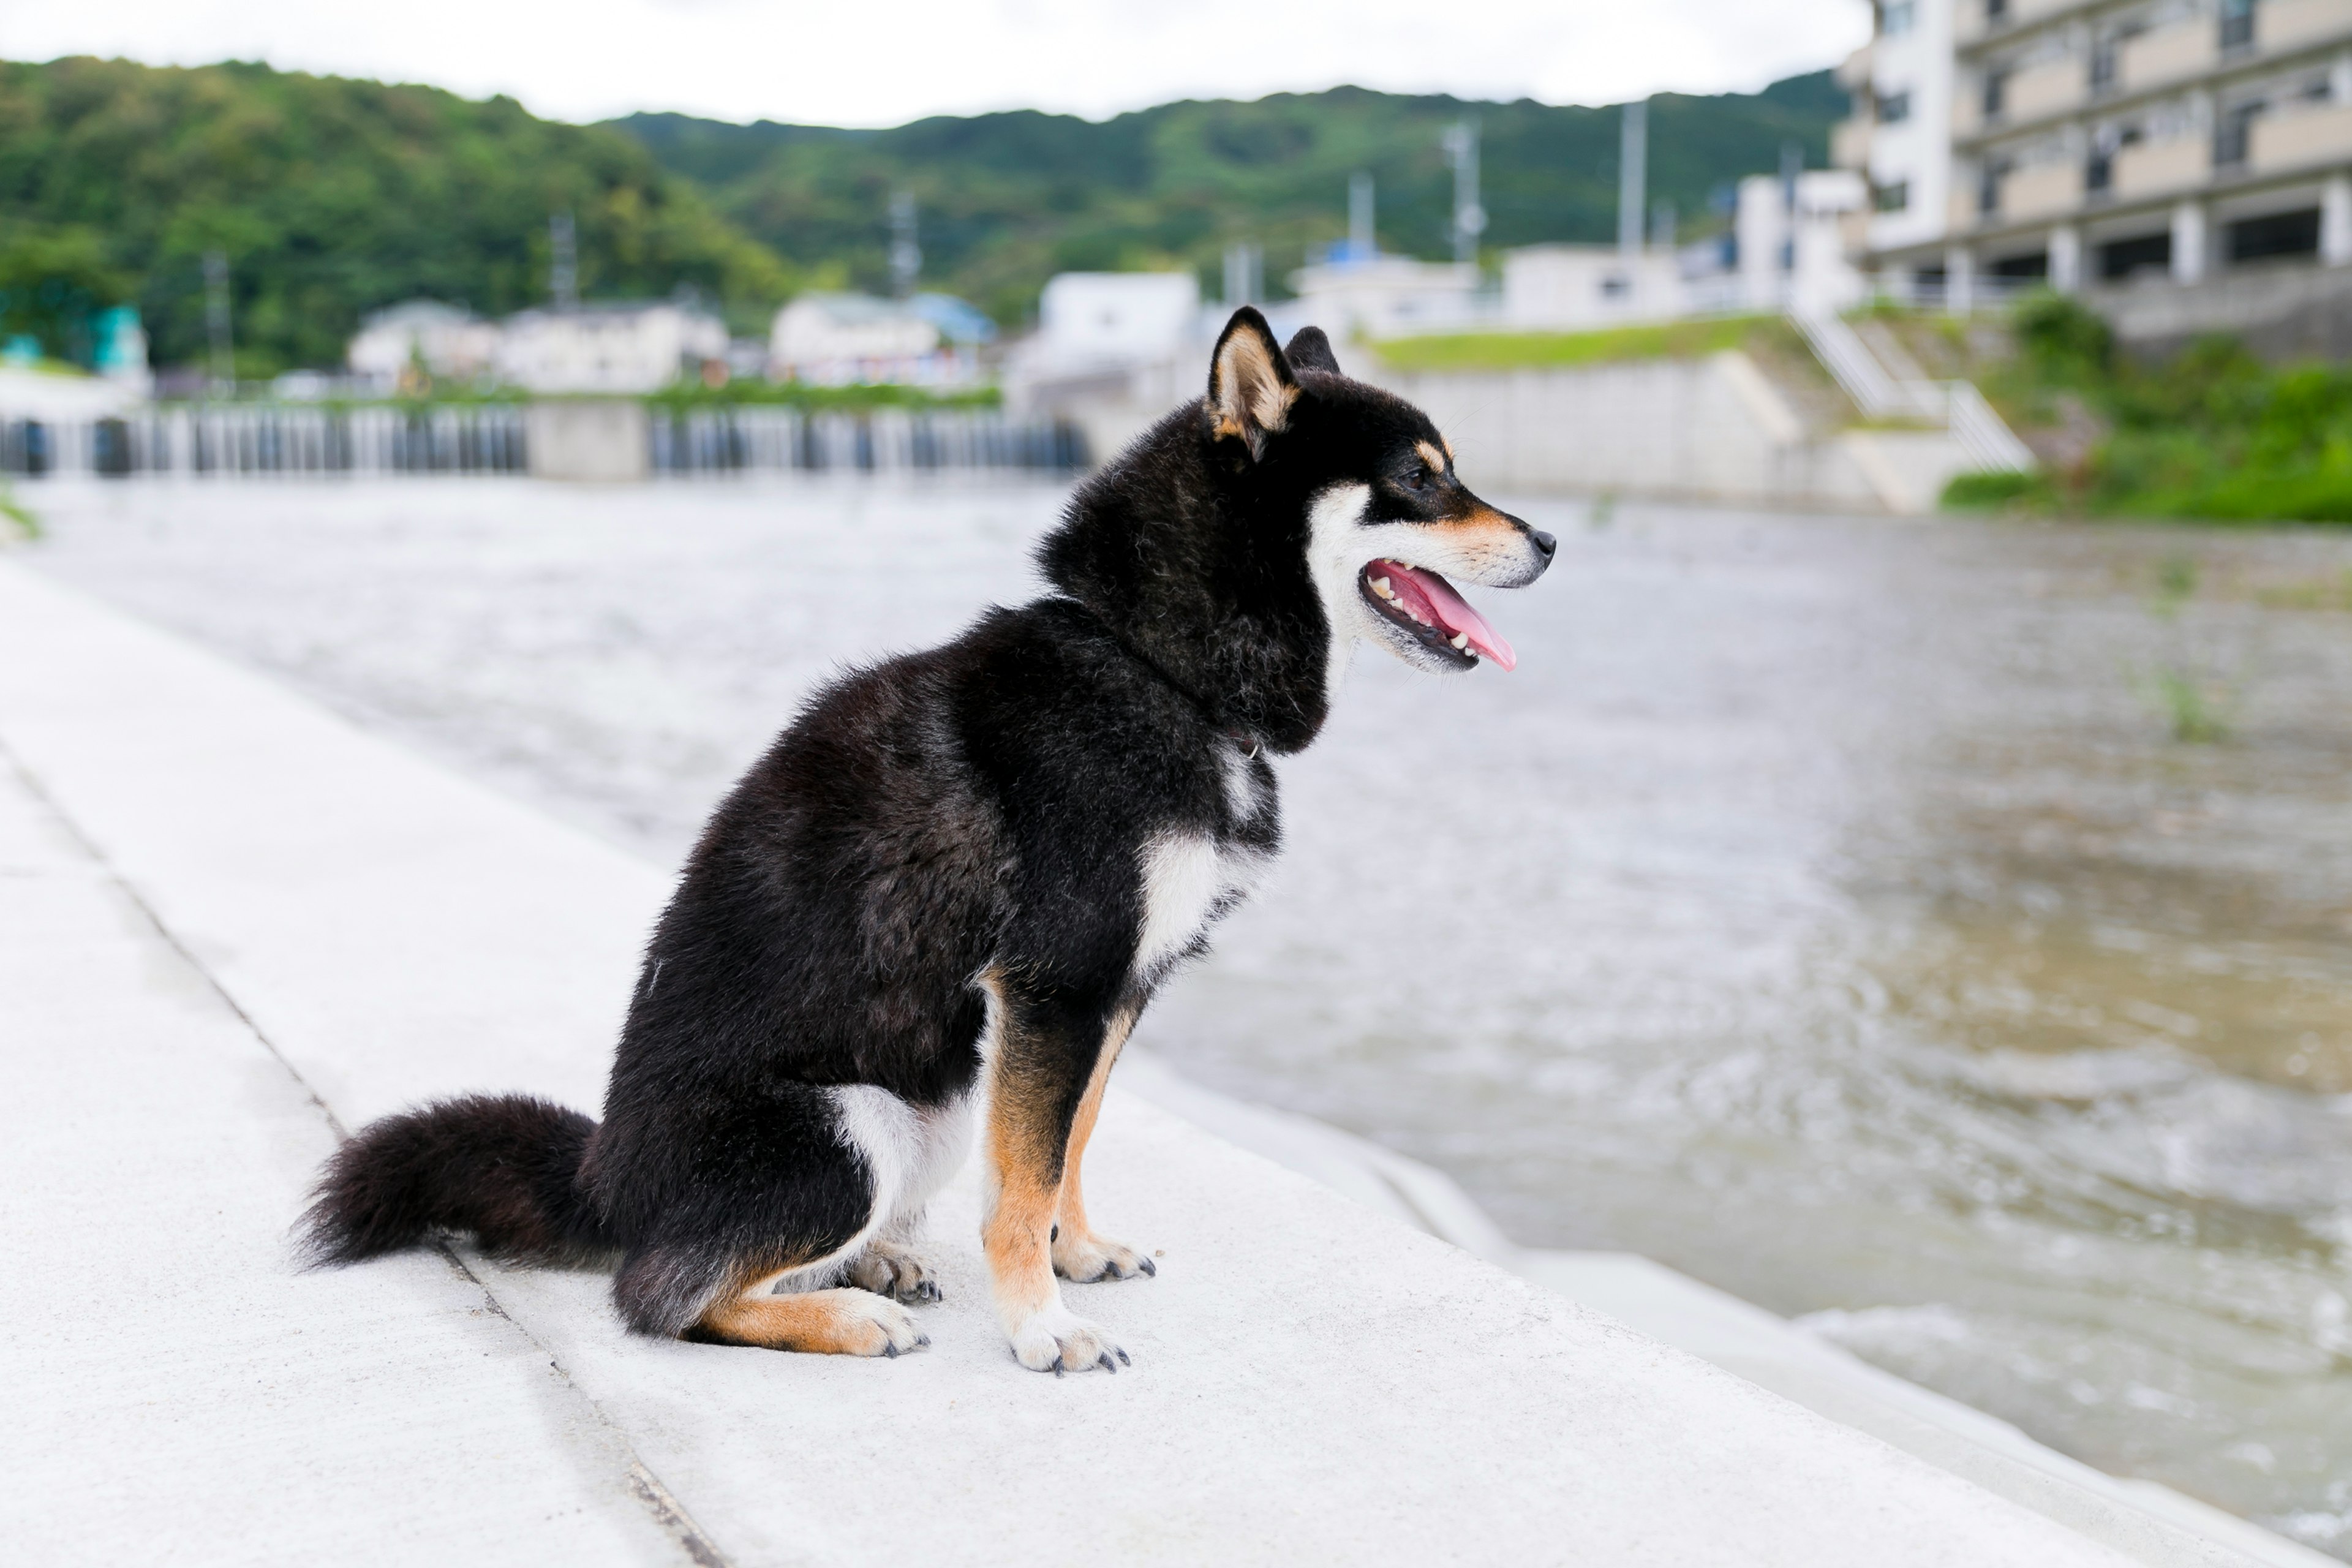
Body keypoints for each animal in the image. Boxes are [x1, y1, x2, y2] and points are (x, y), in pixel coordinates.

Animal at [308, 310, 1561, 1373]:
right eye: (1420, 477)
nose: (1550, 539)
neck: (1154, 667)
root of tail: (604, 1181)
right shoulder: (1057, 979)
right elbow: (1027, 1179)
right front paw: (1043, 1330)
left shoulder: (1112, 988)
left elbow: (1066, 1147)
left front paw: (1074, 1257)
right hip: (848, 1122)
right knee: (665, 1297)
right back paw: (842, 1315)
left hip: (937, 1104)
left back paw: (876, 1267)